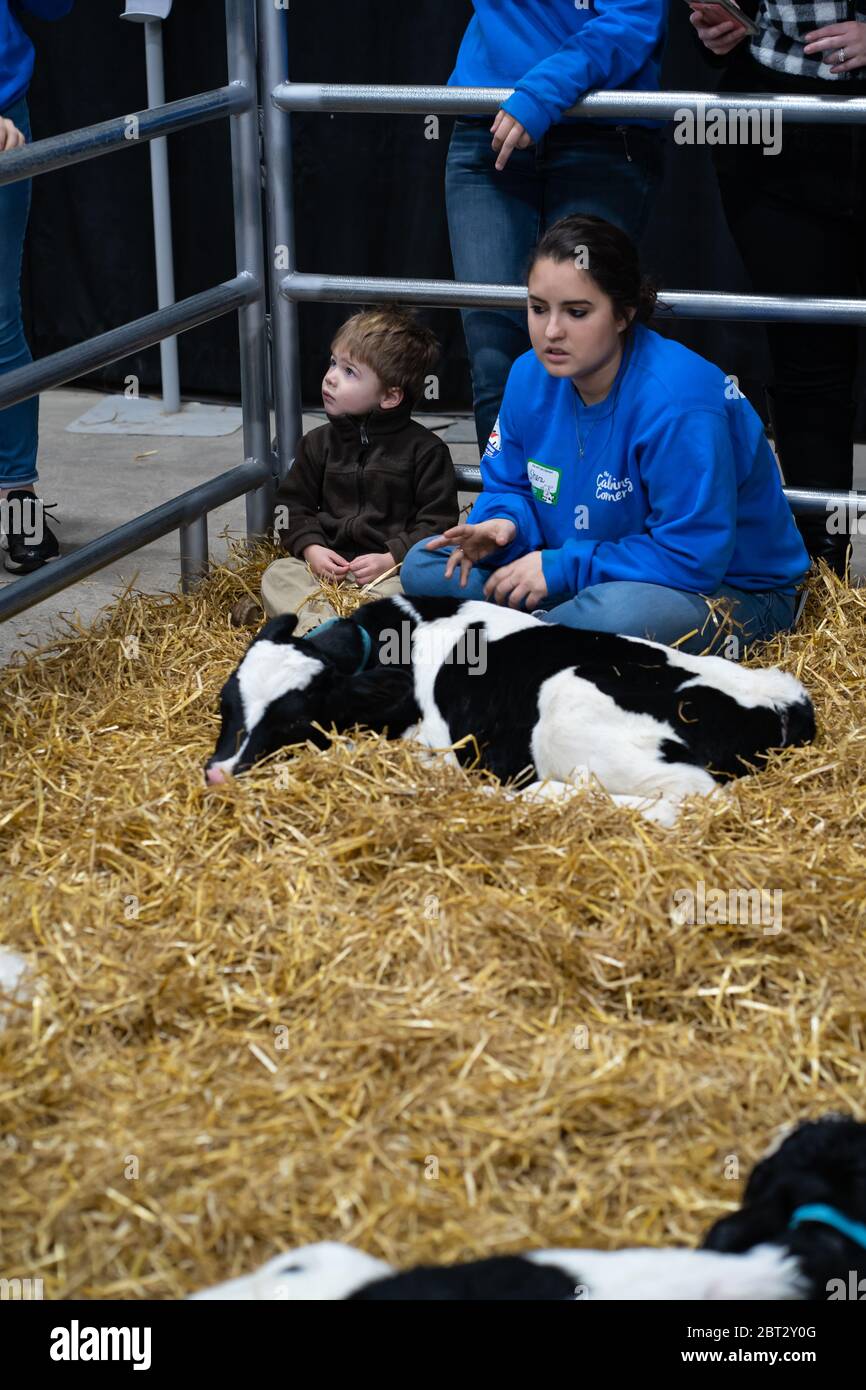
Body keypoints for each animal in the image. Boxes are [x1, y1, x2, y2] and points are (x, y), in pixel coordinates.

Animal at [207, 592, 817, 817]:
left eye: (293, 720)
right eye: (224, 704)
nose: (218, 773)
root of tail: (782, 706)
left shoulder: (438, 746)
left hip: (570, 709)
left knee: (684, 801)